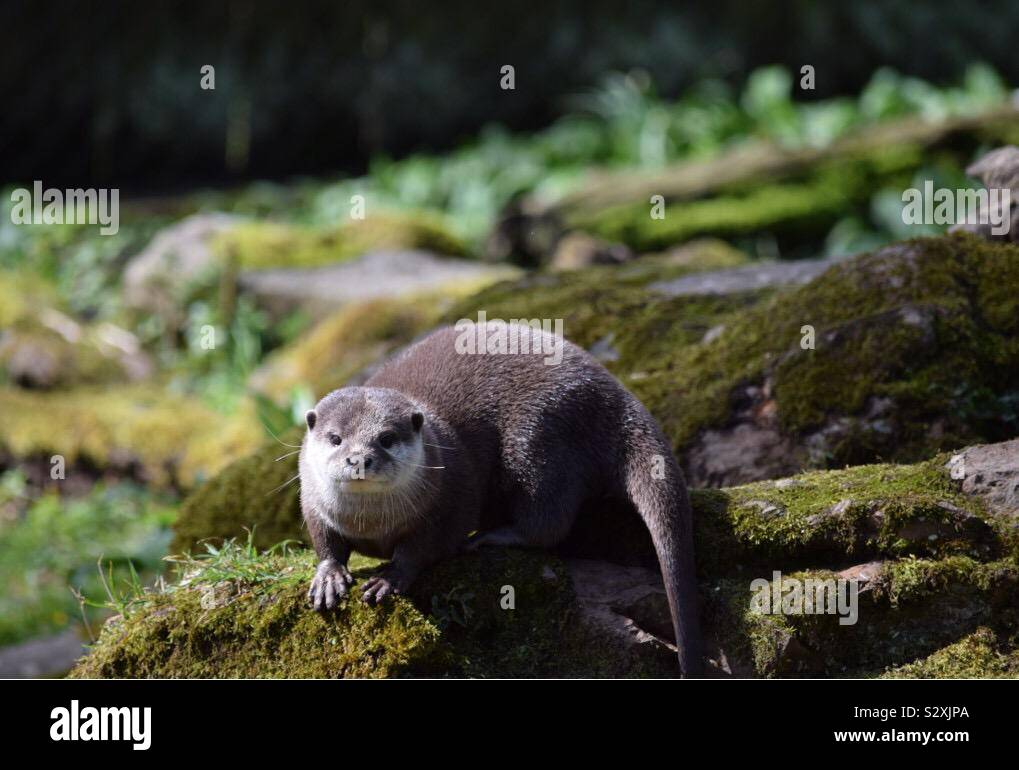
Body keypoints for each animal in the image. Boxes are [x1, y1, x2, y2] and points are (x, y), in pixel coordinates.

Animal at [297, 319, 705, 672]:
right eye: (335, 438)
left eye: (385, 438)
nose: (358, 458)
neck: (372, 524)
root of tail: (617, 398)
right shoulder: (314, 502)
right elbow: (325, 540)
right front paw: (329, 577)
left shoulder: (453, 496)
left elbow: (428, 545)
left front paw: (392, 576)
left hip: (538, 434)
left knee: (549, 520)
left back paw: (492, 537)